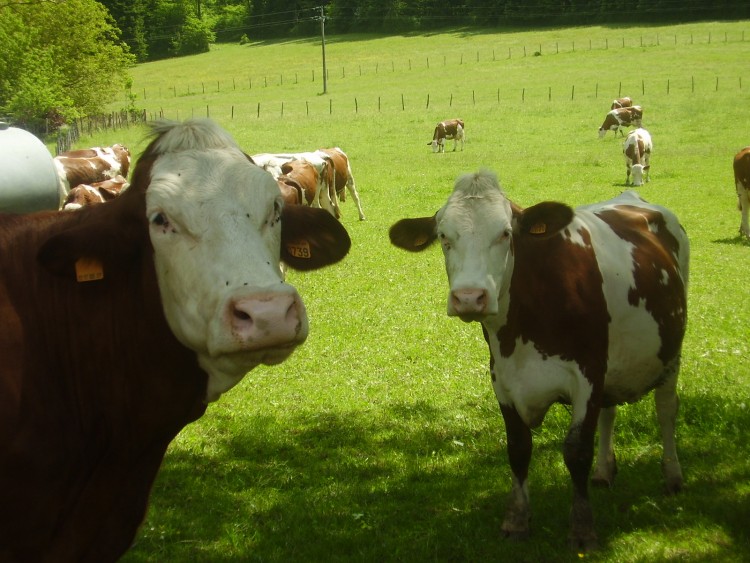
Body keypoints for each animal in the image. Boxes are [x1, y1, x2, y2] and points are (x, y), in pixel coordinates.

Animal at [390, 171, 692, 552]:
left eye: (505, 233)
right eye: (444, 236)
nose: (469, 298)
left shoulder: (588, 375)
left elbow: (577, 451)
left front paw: (582, 529)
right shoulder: (502, 379)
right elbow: (518, 449)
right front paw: (517, 520)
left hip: (671, 355)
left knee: (666, 410)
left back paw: (673, 476)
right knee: (609, 412)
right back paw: (604, 472)